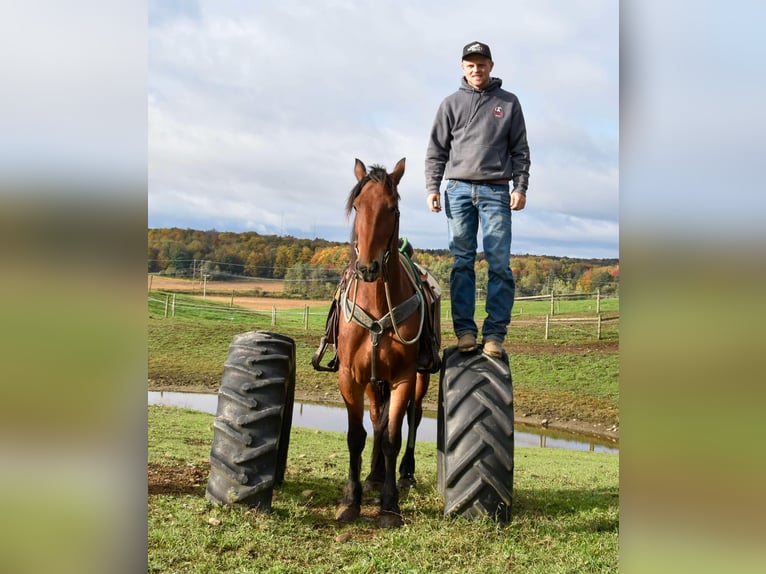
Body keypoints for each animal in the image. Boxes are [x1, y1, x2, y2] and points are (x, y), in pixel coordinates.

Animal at [334, 157, 431, 528]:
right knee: (377, 418)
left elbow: (392, 436)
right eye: (357, 206)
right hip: (374, 383)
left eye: (392, 208)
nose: (367, 267)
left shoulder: (404, 376)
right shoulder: (350, 377)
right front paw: (351, 499)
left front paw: (389, 506)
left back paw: (404, 474)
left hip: (419, 379)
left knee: (412, 418)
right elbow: (357, 436)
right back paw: (375, 475)